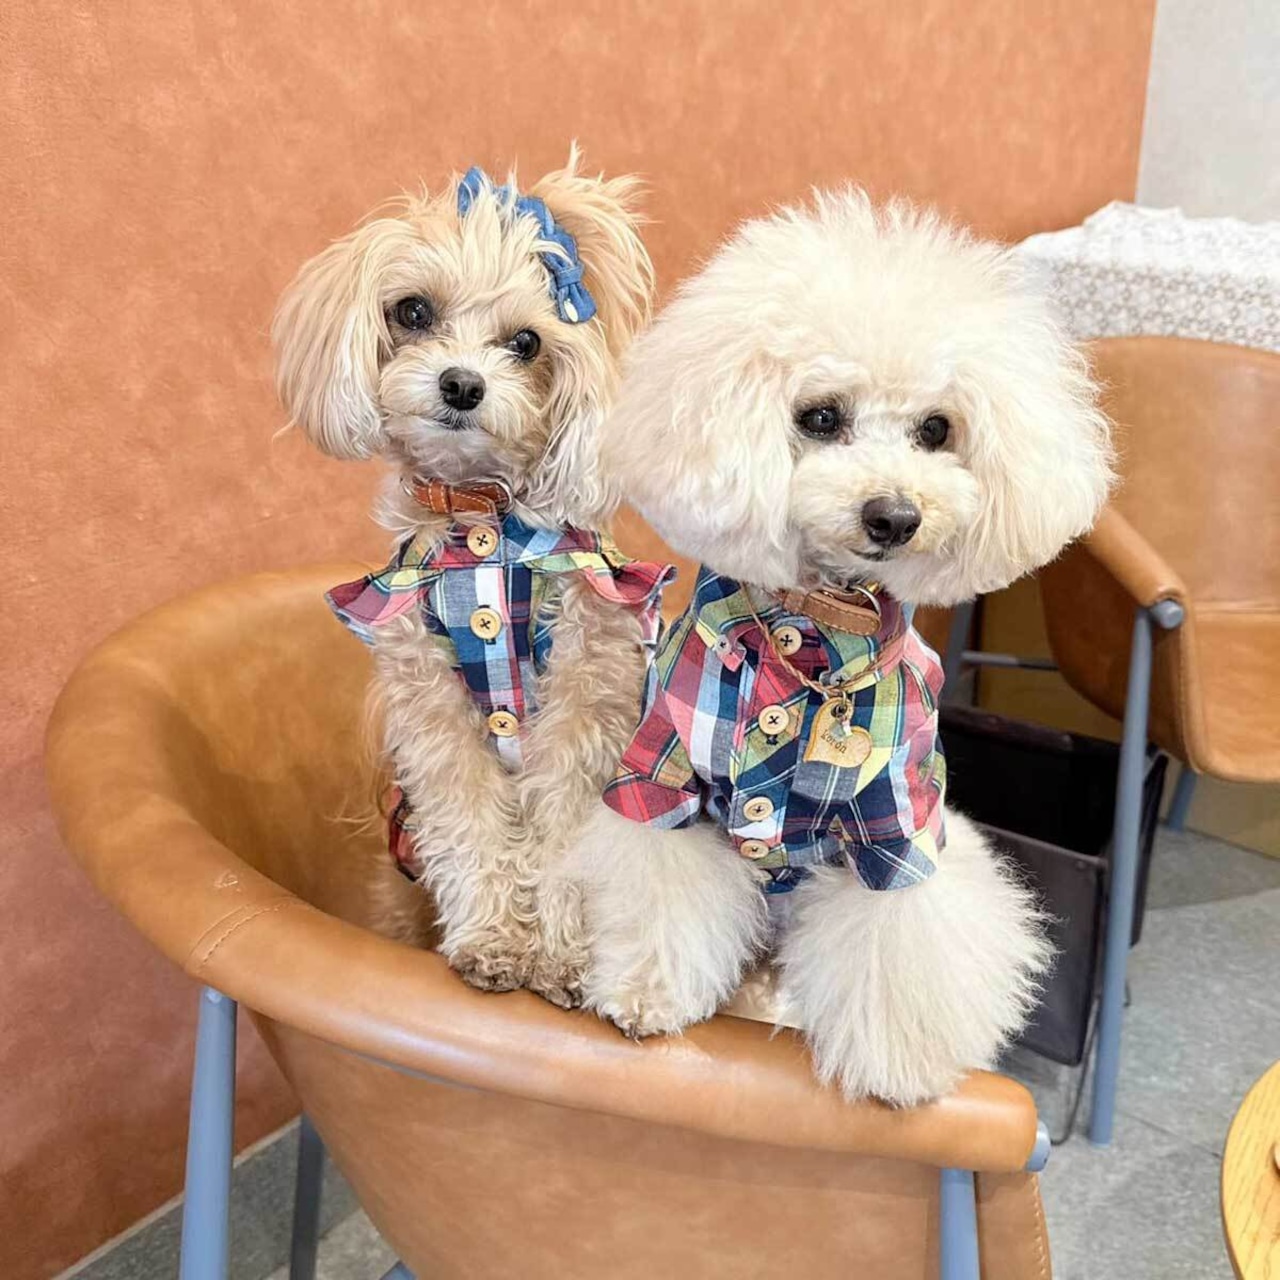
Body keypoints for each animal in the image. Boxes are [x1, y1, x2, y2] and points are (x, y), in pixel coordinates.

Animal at [272, 151, 669, 1007]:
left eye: (526, 341)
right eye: (413, 311)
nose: (461, 384)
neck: (484, 530)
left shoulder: (584, 704)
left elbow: (564, 835)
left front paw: (561, 961)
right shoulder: (433, 711)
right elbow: (472, 826)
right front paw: (495, 944)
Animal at [574, 190, 1114, 1105]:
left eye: (937, 429)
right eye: (820, 417)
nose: (894, 516)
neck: (819, 629)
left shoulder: (898, 828)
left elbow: (898, 944)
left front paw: (899, 1063)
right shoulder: (664, 778)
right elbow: (663, 891)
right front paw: (646, 995)